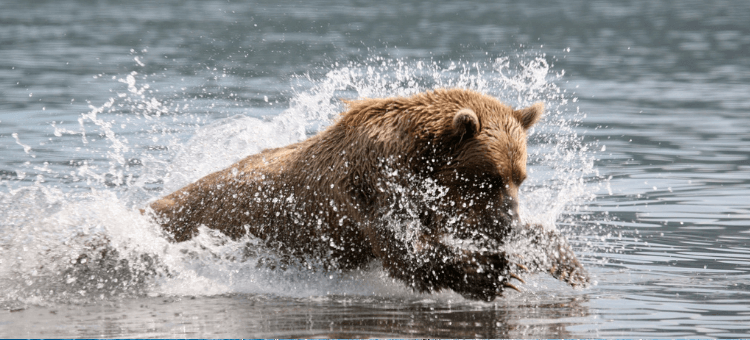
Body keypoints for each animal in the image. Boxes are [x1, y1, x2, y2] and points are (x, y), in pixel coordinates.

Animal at [147, 89, 592, 302]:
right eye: (488, 178)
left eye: (520, 178)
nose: (509, 220)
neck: (415, 160)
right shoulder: (371, 186)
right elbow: (406, 250)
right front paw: (494, 273)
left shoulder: (436, 201)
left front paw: (564, 262)